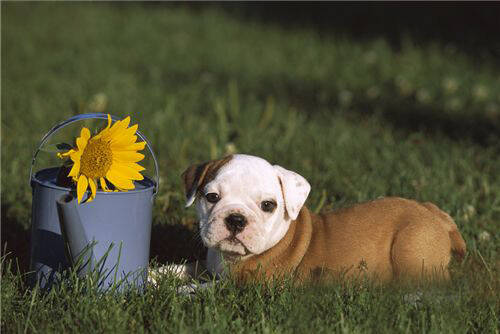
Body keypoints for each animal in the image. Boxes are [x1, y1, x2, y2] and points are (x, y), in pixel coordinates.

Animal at [154, 153, 466, 286]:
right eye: (211, 197)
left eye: (268, 205)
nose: (236, 219)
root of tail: (435, 213)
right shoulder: (209, 267)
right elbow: (179, 268)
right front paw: (151, 276)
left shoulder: (246, 288)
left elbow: (196, 290)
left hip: (412, 250)